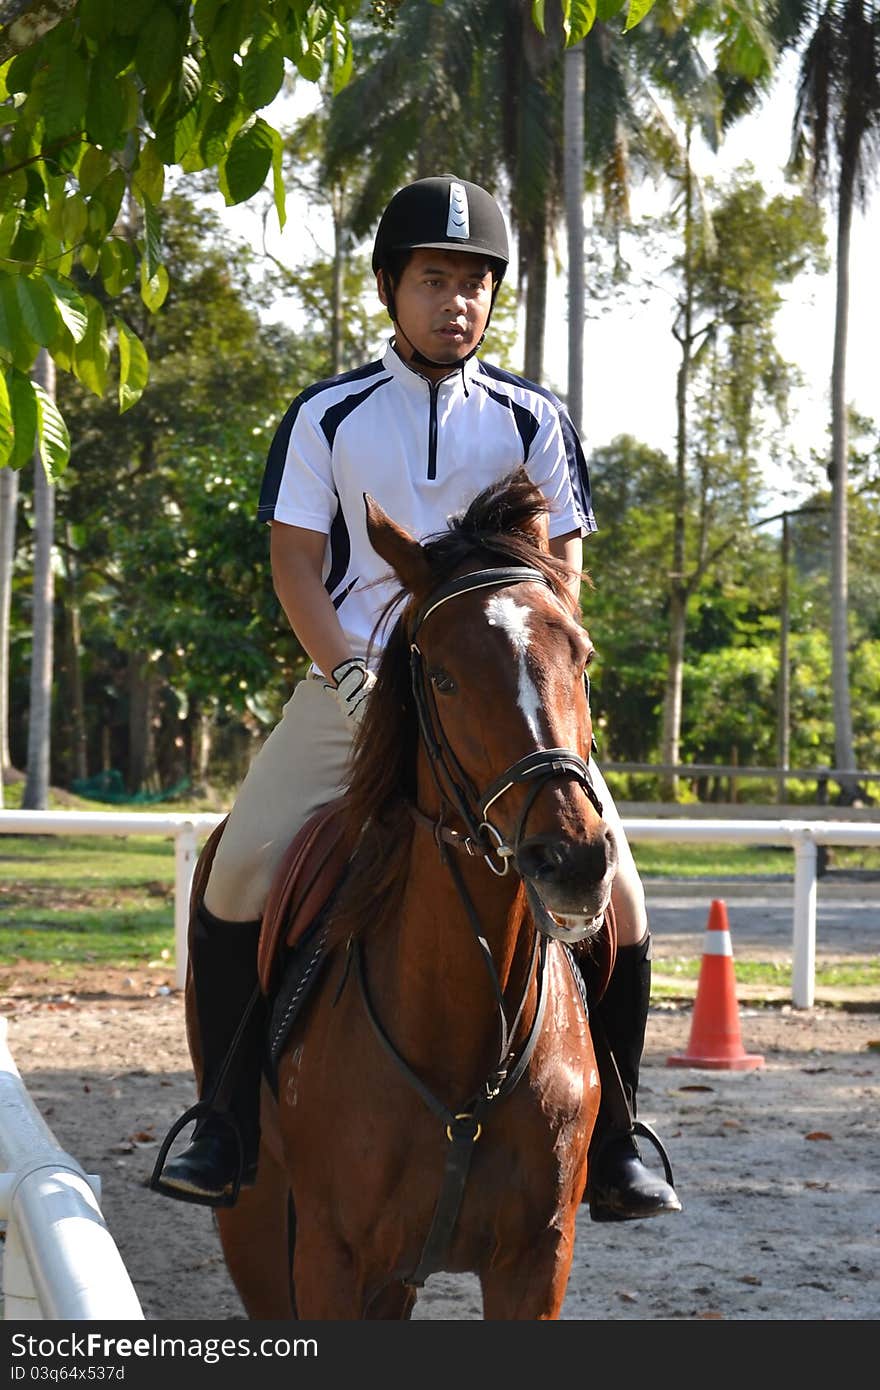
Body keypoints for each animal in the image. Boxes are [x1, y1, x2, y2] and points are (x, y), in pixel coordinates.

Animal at [194, 475, 617, 1323]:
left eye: (581, 657)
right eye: (445, 677)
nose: (573, 861)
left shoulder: (537, 1261)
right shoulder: (330, 1259)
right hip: (254, 1221)